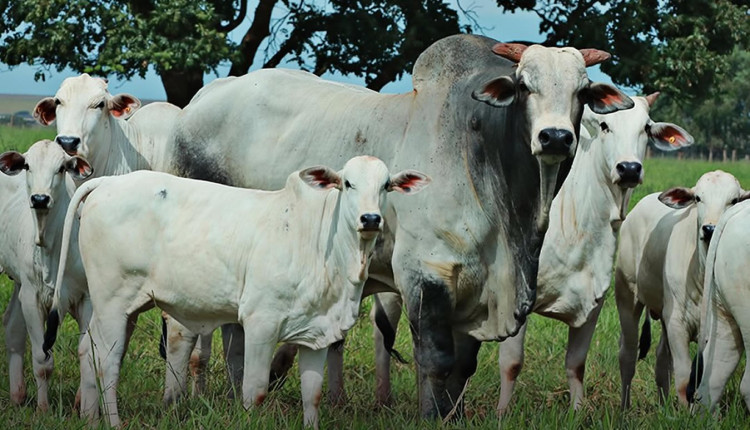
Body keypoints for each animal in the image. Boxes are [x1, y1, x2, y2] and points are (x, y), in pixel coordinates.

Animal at [0, 140, 93, 410]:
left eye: (61, 168)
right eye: (27, 166)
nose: (40, 198)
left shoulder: (85, 299)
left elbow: (86, 354)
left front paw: (83, 404)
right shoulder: (32, 298)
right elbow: (42, 361)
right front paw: (43, 408)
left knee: (12, 325)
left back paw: (17, 394)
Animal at [45, 155, 428, 426]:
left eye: (386, 186)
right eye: (347, 183)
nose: (370, 219)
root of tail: (108, 182)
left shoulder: (316, 333)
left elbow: (313, 396)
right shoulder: (261, 324)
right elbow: (254, 392)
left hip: (118, 307)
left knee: (87, 350)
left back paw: (89, 418)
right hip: (112, 303)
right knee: (107, 361)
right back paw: (112, 421)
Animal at [166, 33, 636, 416]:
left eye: (581, 91)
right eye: (524, 86)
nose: (555, 137)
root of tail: (196, 104)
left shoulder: (476, 290)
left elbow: (462, 367)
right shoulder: (424, 273)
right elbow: (436, 362)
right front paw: (431, 417)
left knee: (234, 332)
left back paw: (236, 396)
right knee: (182, 332)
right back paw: (176, 401)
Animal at [496, 93, 696, 414]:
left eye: (646, 127)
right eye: (604, 125)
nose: (629, 168)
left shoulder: (593, 300)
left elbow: (576, 365)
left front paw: (577, 413)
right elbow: (511, 363)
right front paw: (502, 414)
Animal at [616, 170, 748, 408]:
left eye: (733, 200)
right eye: (698, 198)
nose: (709, 229)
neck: (700, 273)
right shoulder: (677, 323)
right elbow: (685, 379)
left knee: (661, 360)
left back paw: (662, 407)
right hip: (627, 297)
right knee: (628, 355)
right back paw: (623, 409)